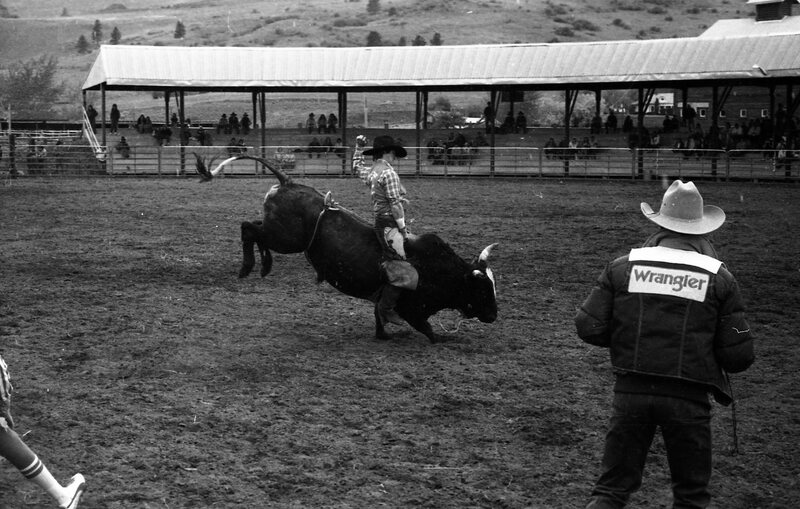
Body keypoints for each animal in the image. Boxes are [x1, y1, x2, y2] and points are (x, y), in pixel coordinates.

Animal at [195, 154, 499, 343]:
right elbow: (426, 329)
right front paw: (443, 338)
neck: (438, 270)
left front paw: (384, 335)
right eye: (483, 289)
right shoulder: (412, 308)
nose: (494, 316)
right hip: (285, 239)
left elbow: (379, 315)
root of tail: (287, 181)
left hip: (277, 231)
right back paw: (249, 267)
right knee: (248, 228)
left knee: (254, 229)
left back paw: (263, 265)